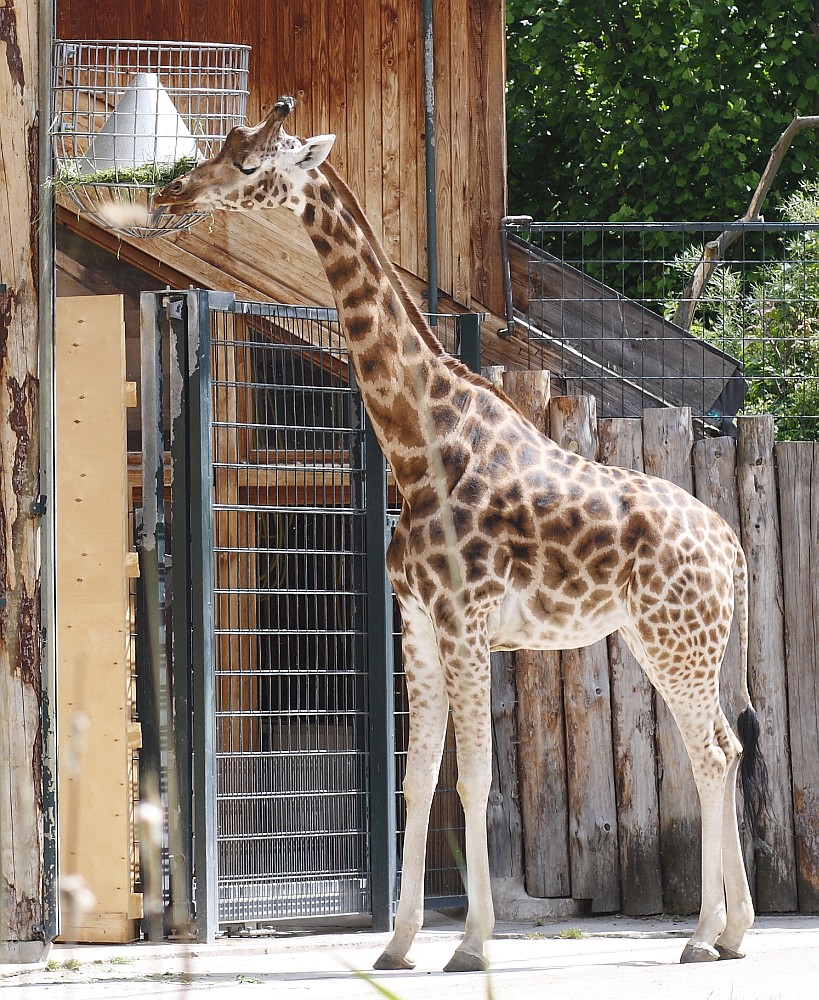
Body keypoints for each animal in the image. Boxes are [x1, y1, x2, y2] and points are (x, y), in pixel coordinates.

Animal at [154, 99, 768, 976]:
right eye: (217, 150)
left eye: (248, 165)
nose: (170, 194)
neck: (420, 448)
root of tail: (730, 543)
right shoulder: (414, 621)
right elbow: (415, 781)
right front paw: (399, 945)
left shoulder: (465, 621)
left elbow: (473, 779)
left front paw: (473, 944)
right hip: (669, 641)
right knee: (720, 747)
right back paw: (732, 931)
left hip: (675, 639)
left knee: (712, 754)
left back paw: (698, 935)